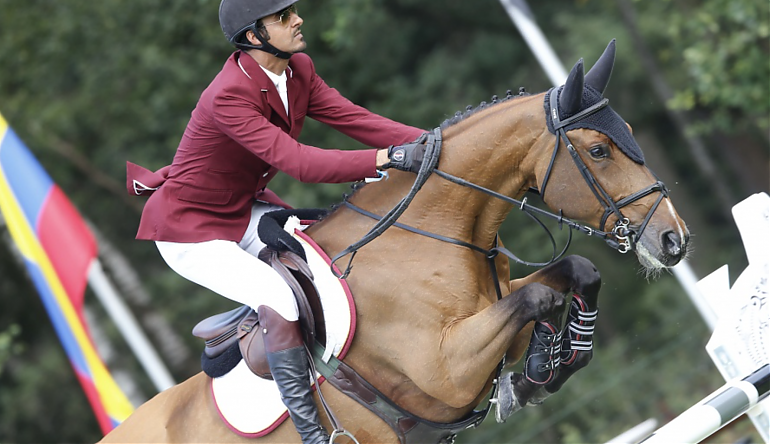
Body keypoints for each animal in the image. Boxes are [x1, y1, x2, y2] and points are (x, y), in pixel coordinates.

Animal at [100, 40, 684, 442]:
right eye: (599, 150)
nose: (673, 239)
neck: (432, 237)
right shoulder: (445, 370)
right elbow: (538, 296)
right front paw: (538, 370)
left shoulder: (492, 318)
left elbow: (575, 273)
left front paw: (544, 366)